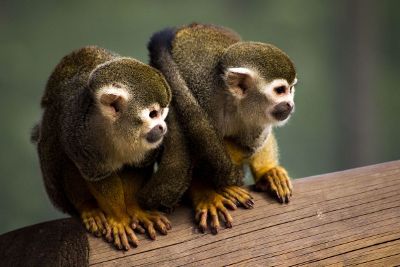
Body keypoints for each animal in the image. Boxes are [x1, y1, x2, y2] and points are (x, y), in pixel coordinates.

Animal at [32, 46, 189, 251]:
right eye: (153, 114)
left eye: (163, 113)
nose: (163, 127)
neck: (118, 130)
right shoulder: (79, 132)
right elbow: (98, 176)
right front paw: (119, 218)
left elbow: (135, 168)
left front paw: (135, 210)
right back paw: (87, 207)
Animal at [148, 24, 296, 234]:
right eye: (280, 90)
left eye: (291, 89)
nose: (290, 104)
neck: (232, 100)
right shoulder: (200, 88)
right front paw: (207, 194)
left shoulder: (259, 119)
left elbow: (247, 146)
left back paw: (267, 171)